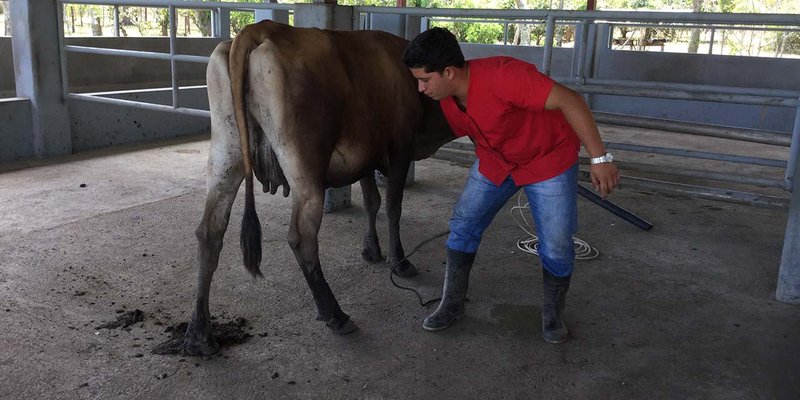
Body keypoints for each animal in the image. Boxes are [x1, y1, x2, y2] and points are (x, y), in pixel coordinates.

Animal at [184, 20, 454, 354]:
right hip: (305, 168)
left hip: (226, 151)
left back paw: (199, 333)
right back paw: (334, 313)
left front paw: (371, 249)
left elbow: (372, 201)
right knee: (302, 238)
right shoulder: (400, 148)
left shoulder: (365, 156)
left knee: (210, 231)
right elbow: (392, 205)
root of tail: (260, 28)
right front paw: (399, 261)